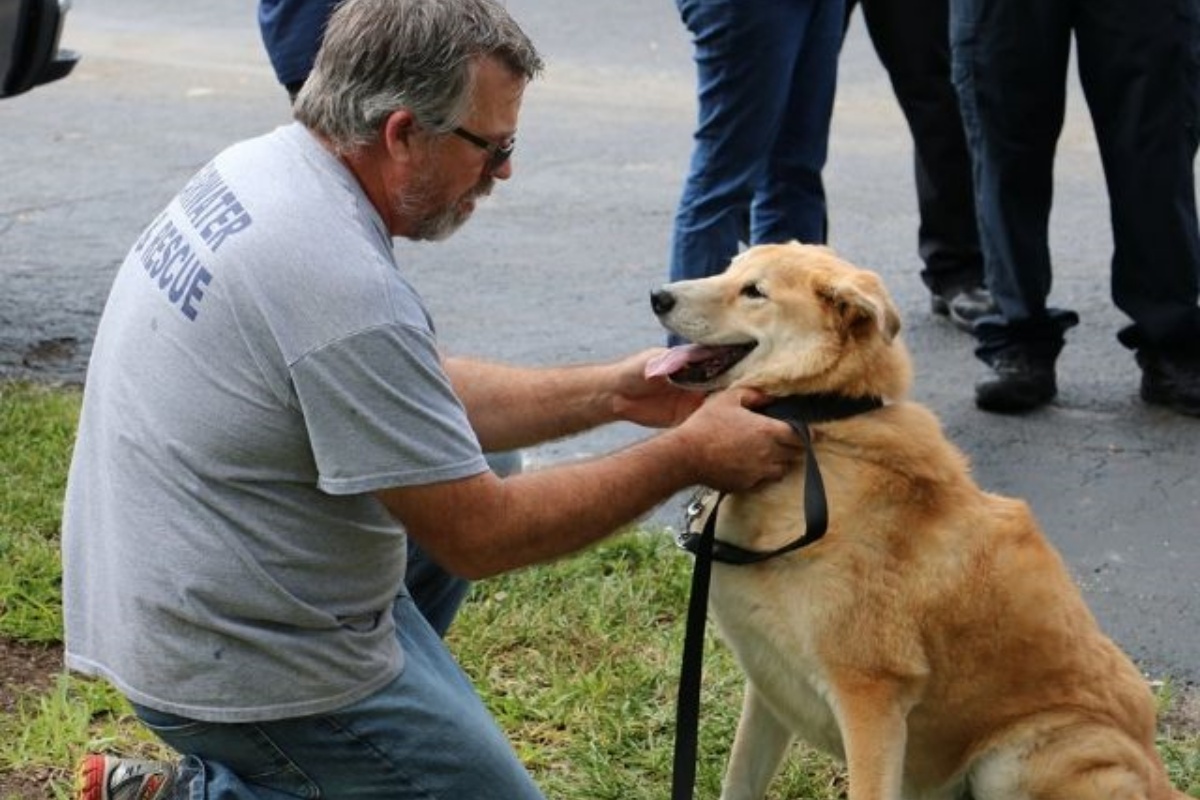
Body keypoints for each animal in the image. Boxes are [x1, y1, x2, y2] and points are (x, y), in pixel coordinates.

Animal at [648, 242, 1180, 800]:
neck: (819, 424)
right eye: (729, 268)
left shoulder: (871, 699)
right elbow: (739, 782)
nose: (658, 296)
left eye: (755, 291)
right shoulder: (769, 686)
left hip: (1021, 758)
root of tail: (1159, 776)